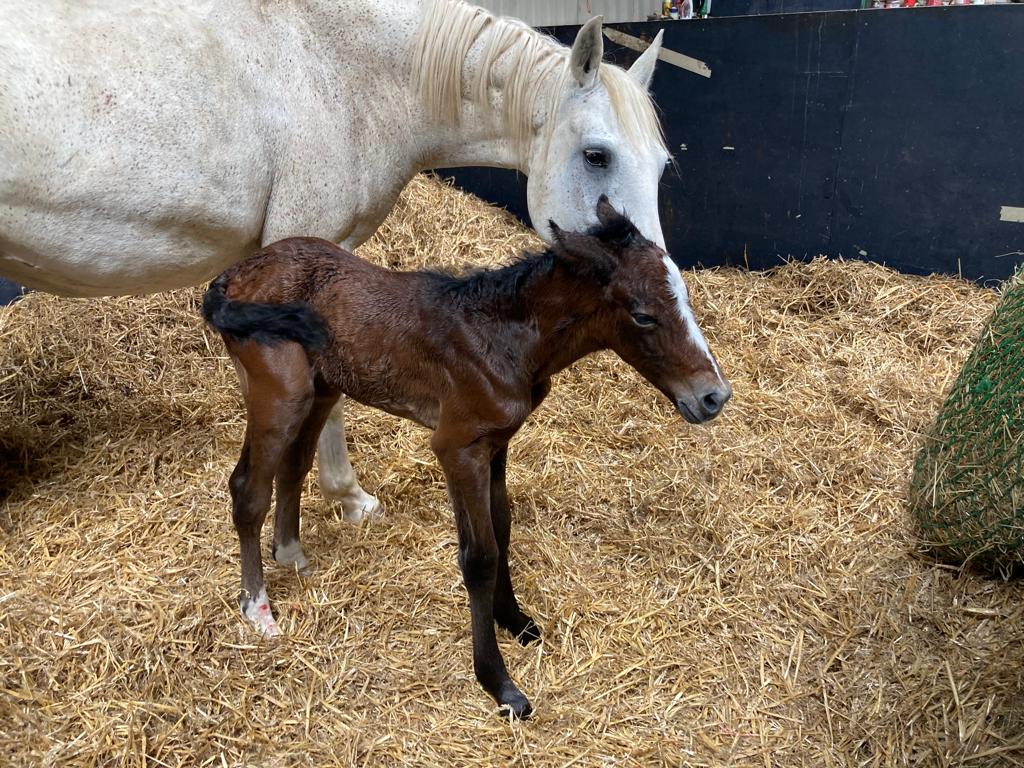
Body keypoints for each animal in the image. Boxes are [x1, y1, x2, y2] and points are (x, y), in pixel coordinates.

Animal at [201, 201, 729, 720]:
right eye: (643, 316)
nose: (713, 397)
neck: (502, 337)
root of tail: (233, 275)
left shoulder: (496, 444)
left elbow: (503, 529)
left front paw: (515, 620)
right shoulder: (458, 447)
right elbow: (479, 555)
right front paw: (500, 683)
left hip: (323, 387)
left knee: (294, 465)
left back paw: (292, 557)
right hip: (280, 392)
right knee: (248, 489)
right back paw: (258, 609)